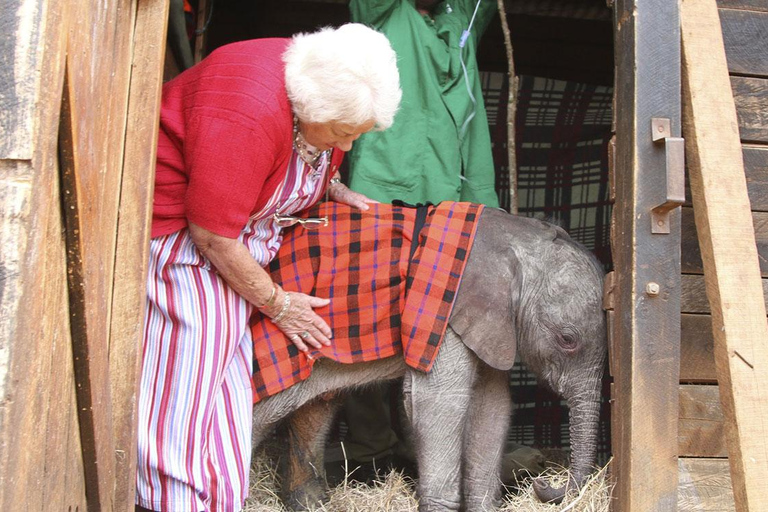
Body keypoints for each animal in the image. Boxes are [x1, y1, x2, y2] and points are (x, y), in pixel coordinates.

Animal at [252, 206, 608, 510]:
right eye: (568, 340)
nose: (544, 482)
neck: (517, 236)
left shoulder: (490, 322)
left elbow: (492, 405)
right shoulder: (447, 310)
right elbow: (442, 402)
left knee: (316, 409)